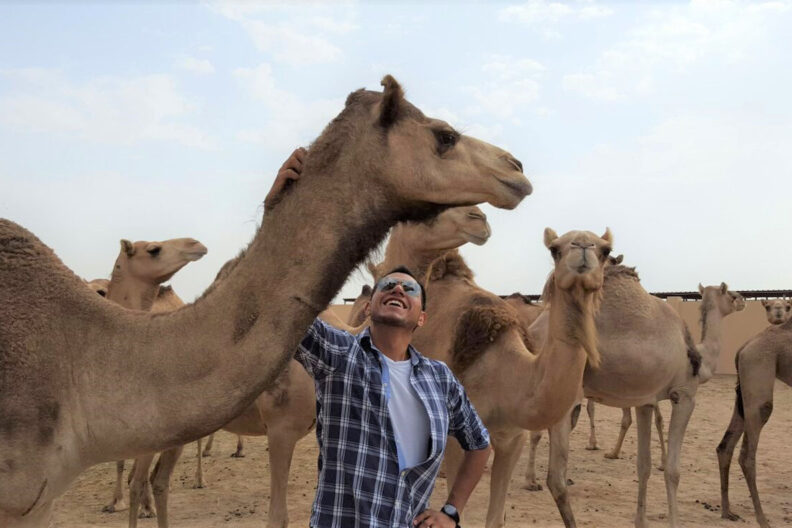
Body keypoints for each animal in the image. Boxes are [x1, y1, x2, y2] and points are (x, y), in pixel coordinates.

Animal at [0, 75, 532, 528]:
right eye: (445, 135)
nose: (518, 169)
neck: (82, 361)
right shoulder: (279, 430)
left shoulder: (40, 501)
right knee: (140, 481)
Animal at [536, 270, 744, 528]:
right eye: (731, 295)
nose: (743, 299)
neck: (699, 359)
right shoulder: (684, 395)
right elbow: (673, 471)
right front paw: (674, 521)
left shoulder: (645, 402)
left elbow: (643, 465)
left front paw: (641, 521)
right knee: (556, 478)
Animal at [716, 318, 792, 527]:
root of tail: (742, 349)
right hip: (757, 370)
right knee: (747, 456)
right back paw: (762, 519)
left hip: (743, 390)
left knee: (724, 446)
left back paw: (727, 511)